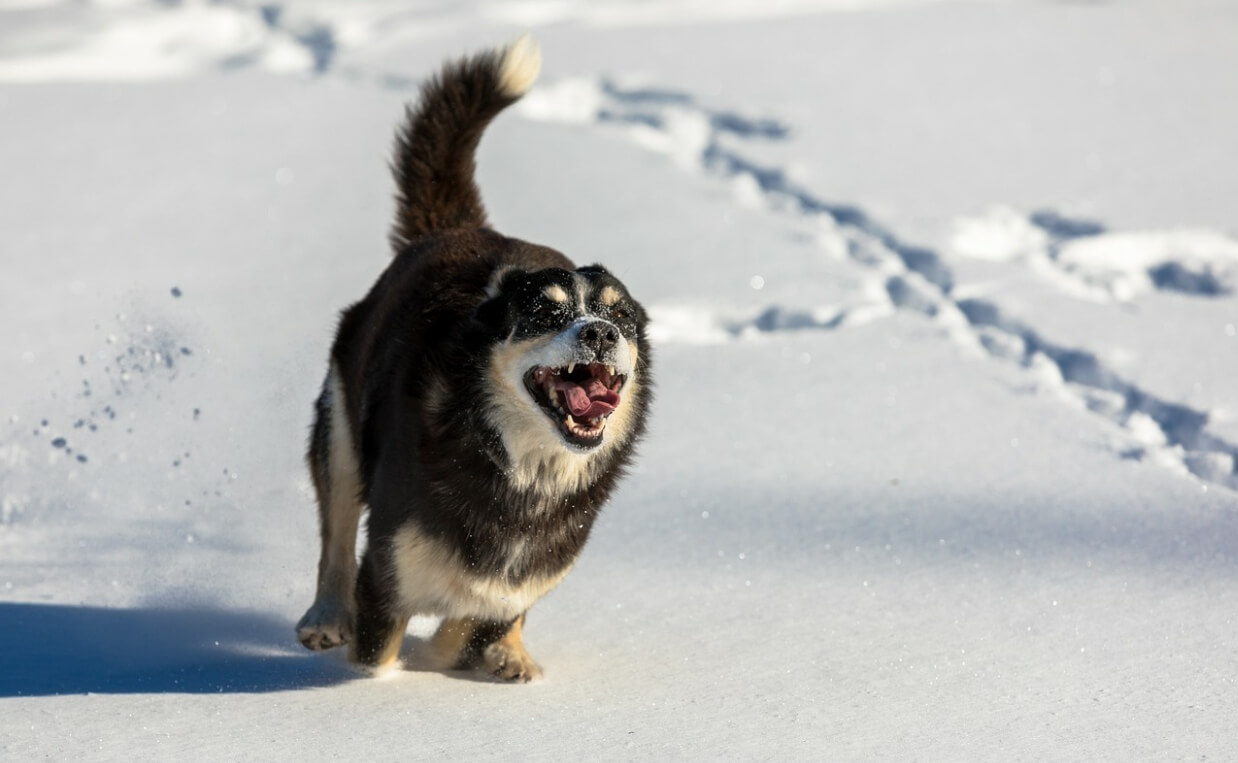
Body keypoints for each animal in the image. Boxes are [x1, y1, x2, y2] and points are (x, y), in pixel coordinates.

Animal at [293, 35, 653, 683]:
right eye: (544, 314)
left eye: (624, 318)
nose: (600, 333)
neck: (523, 470)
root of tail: (456, 231)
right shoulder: (387, 572)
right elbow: (381, 650)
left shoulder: (526, 572)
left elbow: (478, 617)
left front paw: (480, 652)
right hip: (340, 428)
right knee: (335, 533)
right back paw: (326, 615)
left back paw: (510, 653)